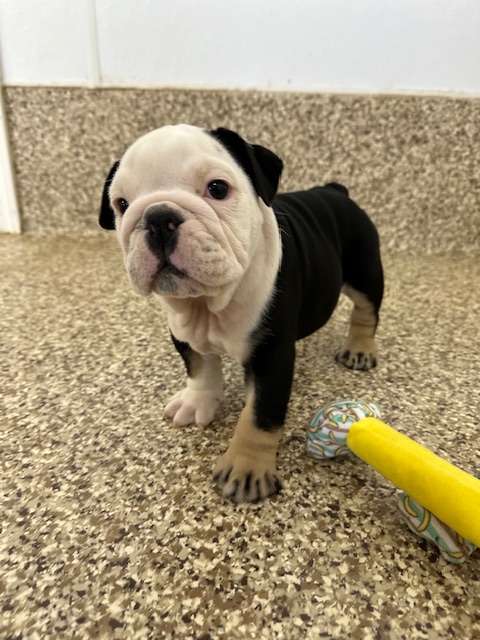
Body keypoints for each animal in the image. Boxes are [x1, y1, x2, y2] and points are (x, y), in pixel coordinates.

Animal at [99, 124, 384, 502]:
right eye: (122, 205)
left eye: (217, 189)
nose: (158, 218)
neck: (208, 304)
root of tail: (334, 190)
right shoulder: (183, 332)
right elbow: (199, 369)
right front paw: (197, 402)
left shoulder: (271, 357)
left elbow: (260, 415)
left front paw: (247, 469)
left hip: (364, 269)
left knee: (366, 310)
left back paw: (359, 349)